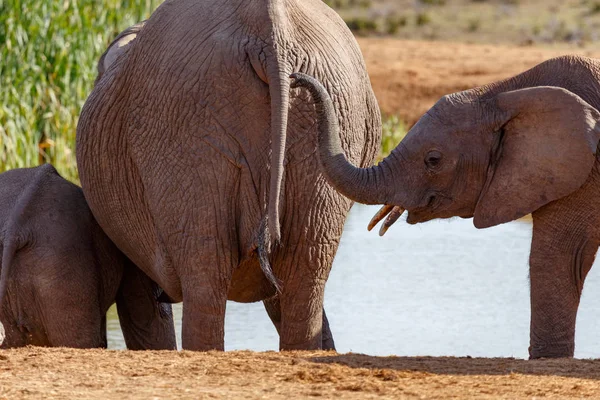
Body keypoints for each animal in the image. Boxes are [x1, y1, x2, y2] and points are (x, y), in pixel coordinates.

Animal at [292, 54, 600, 360]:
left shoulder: (584, 170)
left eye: (434, 160)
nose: (296, 78)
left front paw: (547, 358)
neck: (504, 93)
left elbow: (556, 256)